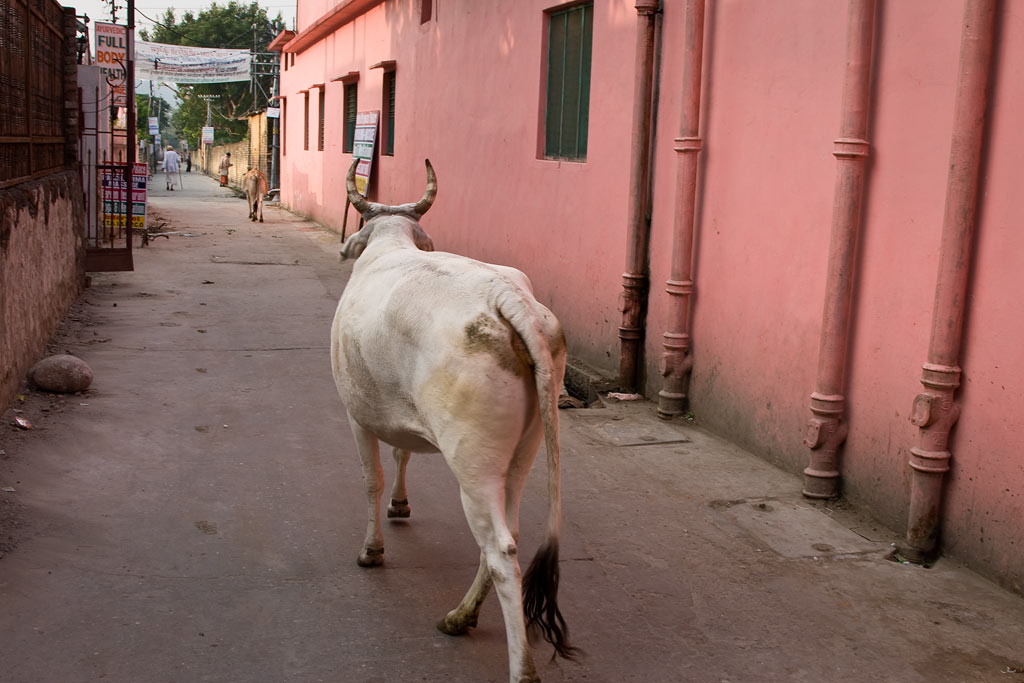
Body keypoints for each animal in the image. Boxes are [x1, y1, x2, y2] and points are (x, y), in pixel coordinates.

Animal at [333, 157, 577, 679]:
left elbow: (371, 479)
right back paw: (460, 616)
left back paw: (519, 667)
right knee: (510, 533)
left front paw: (372, 550)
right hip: (522, 453)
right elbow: (402, 454)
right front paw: (401, 505)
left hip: (472, 462)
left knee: (501, 548)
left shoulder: (357, 413)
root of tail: (509, 298)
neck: (388, 245)